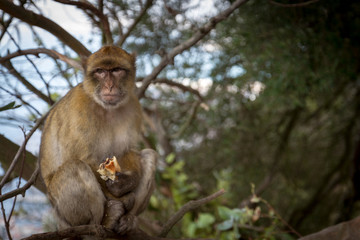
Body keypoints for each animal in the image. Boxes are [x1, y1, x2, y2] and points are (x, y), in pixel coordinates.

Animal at [40, 45, 157, 238]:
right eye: (100, 72)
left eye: (116, 70)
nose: (109, 86)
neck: (106, 109)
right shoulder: (78, 108)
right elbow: (81, 157)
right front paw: (121, 196)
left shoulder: (133, 105)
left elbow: (127, 150)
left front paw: (127, 182)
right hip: (64, 212)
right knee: (74, 166)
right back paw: (102, 223)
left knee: (149, 156)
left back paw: (128, 220)